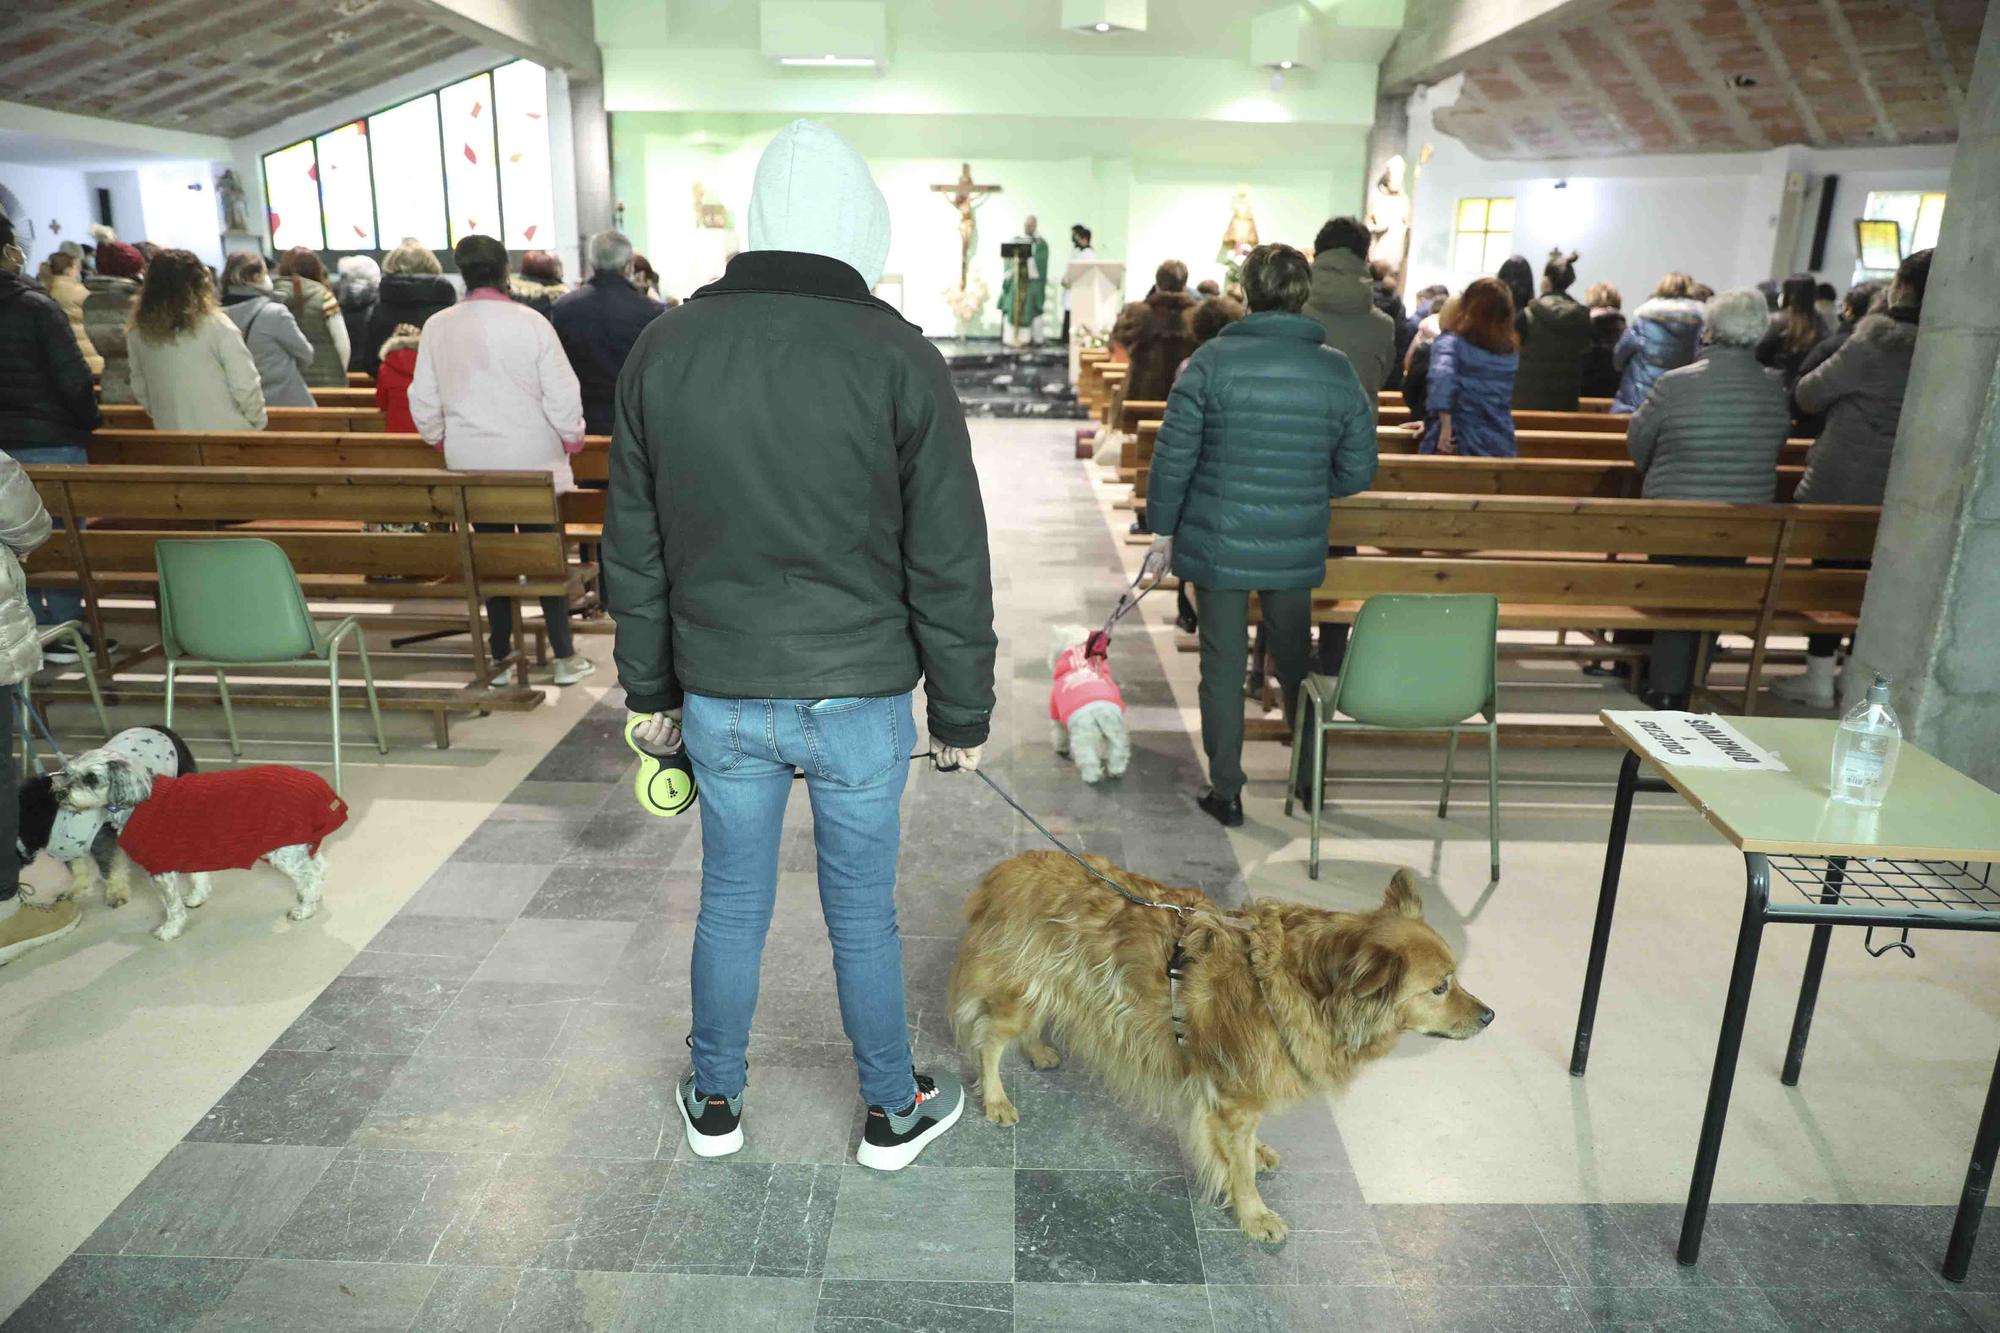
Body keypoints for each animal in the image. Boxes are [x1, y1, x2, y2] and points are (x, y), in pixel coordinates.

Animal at [56, 752, 348, 940]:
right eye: (67, 774)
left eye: (91, 778)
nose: (59, 793)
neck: (139, 800)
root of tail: (319, 787)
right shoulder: (193, 849)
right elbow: (199, 878)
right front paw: (197, 898)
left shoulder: (161, 869)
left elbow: (172, 907)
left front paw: (170, 930)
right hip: (296, 846)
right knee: (319, 867)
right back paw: (309, 897)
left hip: (284, 850)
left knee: (311, 875)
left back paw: (306, 908)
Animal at [948, 852, 1488, 1232]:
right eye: (1439, 988)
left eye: (1455, 978)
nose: (1490, 1016)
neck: (1298, 985)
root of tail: (1009, 870)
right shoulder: (1233, 1099)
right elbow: (1239, 1168)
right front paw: (1254, 1215)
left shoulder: (1243, 1089)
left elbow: (1246, 1145)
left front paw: (1258, 1153)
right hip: (1020, 987)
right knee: (990, 1040)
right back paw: (996, 1097)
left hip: (1052, 984)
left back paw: (1037, 1049)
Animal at [1048, 624, 1128, 780]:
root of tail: (1101, 712)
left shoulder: (1055, 709)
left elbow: (1059, 732)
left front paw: (1061, 748)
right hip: (1116, 732)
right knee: (1118, 752)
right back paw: (1116, 771)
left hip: (1084, 737)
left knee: (1088, 758)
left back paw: (1091, 776)